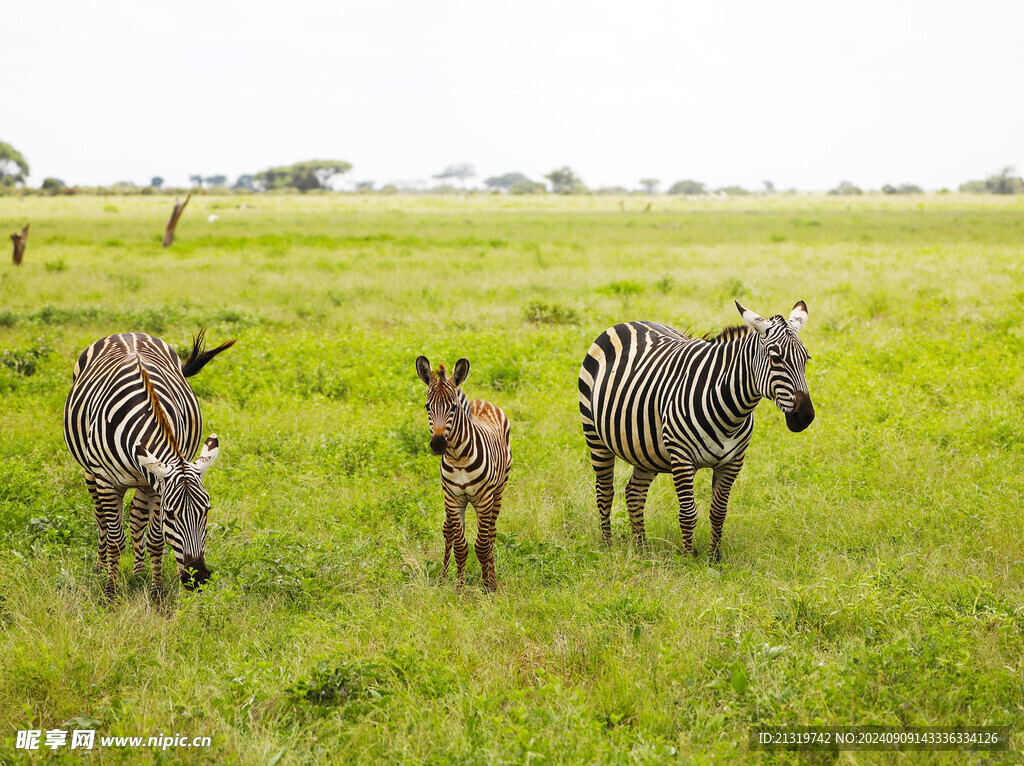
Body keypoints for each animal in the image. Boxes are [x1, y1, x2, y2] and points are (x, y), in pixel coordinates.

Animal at [65, 329, 236, 598]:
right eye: (171, 514)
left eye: (206, 511)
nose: (197, 578)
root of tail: (128, 333)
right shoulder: (108, 481)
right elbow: (115, 540)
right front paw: (110, 592)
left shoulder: (156, 484)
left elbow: (156, 541)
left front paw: (156, 593)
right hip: (91, 473)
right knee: (100, 517)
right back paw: (101, 567)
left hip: (144, 481)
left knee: (137, 517)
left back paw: (139, 572)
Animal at [415, 356, 512, 589]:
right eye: (427, 407)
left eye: (452, 407)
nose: (438, 444)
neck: (458, 458)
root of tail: (480, 401)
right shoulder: (454, 499)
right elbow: (461, 547)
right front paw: (460, 589)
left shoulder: (483, 500)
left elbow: (482, 546)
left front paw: (488, 587)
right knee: (448, 530)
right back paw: (443, 577)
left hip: (499, 490)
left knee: (491, 535)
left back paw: (492, 577)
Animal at [581, 303, 811, 561]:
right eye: (776, 358)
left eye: (806, 359)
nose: (805, 416)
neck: (731, 411)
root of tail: (629, 323)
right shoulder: (681, 457)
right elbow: (688, 513)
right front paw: (688, 558)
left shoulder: (733, 462)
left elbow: (719, 511)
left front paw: (714, 558)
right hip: (595, 436)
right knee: (605, 491)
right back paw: (607, 545)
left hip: (646, 450)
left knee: (634, 493)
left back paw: (642, 548)